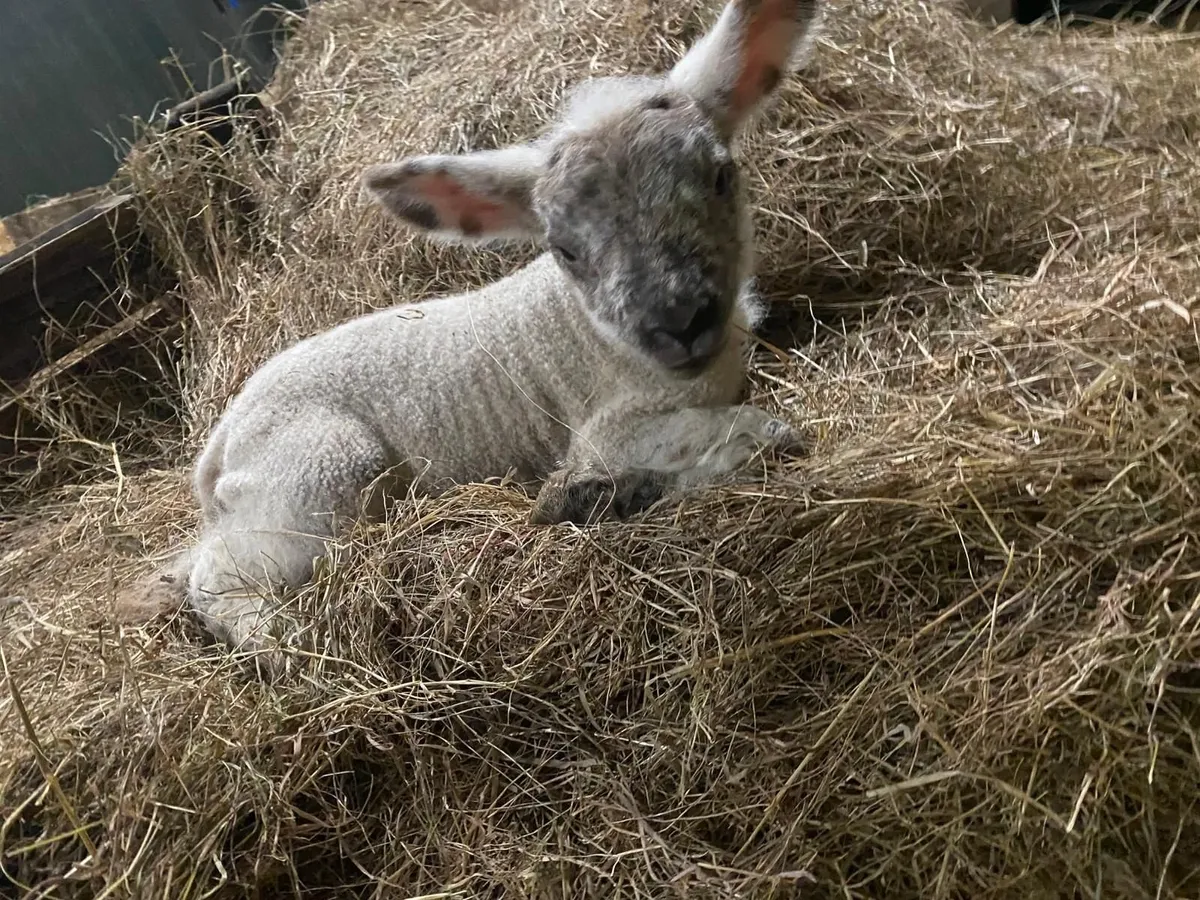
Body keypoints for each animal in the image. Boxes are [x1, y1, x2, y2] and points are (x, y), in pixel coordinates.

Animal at [157, 0, 823, 668]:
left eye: (721, 178)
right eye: (565, 250)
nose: (679, 321)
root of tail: (220, 441)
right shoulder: (607, 428)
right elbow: (761, 432)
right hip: (315, 472)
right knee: (216, 580)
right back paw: (285, 645)